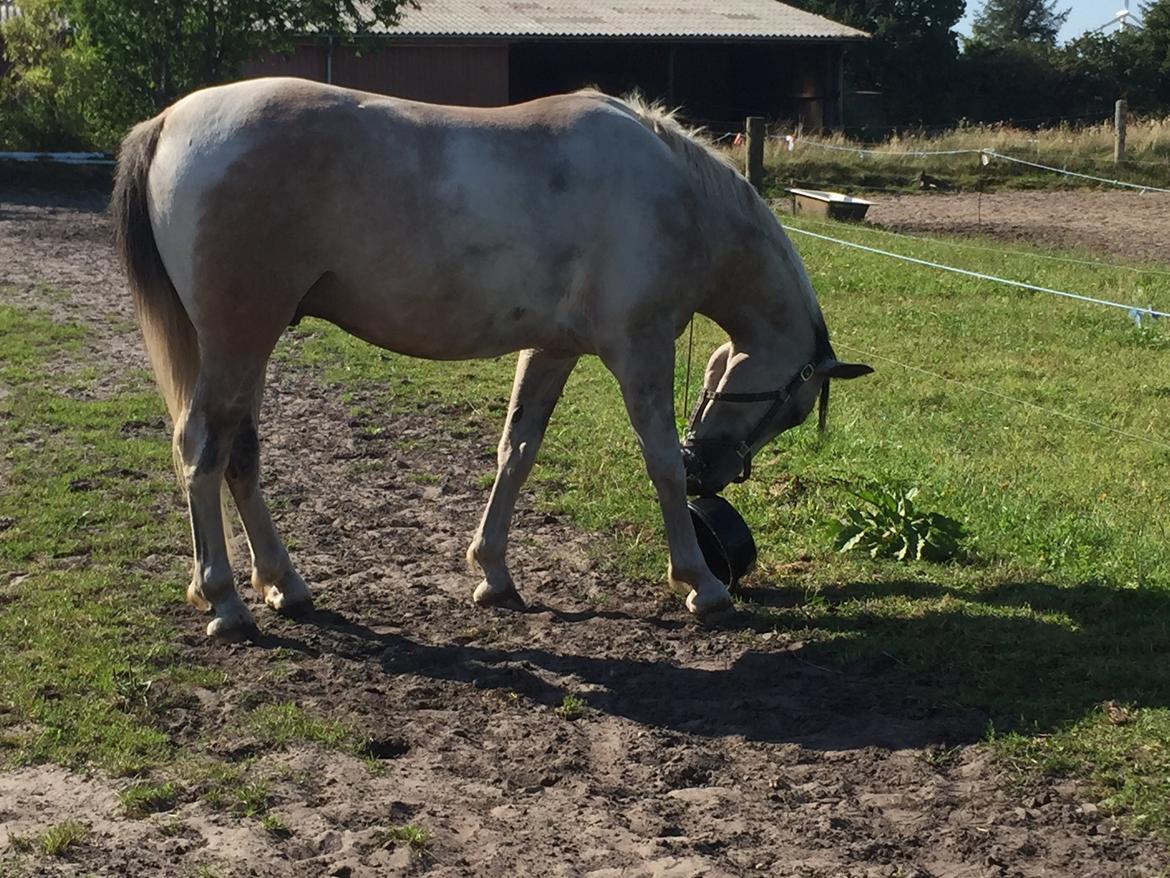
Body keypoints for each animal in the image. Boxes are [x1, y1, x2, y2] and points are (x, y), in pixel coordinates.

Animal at [111, 79, 870, 641]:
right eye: (792, 407)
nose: (708, 470)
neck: (674, 196)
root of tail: (169, 122)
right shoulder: (639, 348)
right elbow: (654, 461)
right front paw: (701, 582)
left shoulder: (553, 348)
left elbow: (517, 450)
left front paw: (494, 574)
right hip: (238, 341)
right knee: (202, 450)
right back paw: (224, 601)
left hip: (245, 345)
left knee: (238, 454)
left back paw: (283, 586)